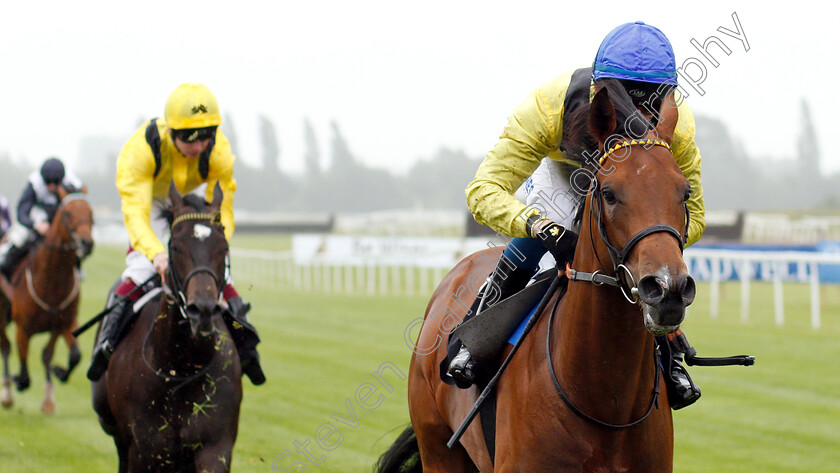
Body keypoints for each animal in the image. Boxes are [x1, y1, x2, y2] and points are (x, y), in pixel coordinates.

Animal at [0, 186, 93, 412]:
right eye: (67, 213)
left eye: (91, 212)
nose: (86, 243)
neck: (52, 282)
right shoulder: (23, 328)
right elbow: (24, 371)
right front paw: (18, 381)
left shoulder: (64, 323)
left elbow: (69, 355)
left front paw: (55, 385)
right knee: (5, 346)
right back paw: (7, 393)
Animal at [92, 183, 243, 472]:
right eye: (175, 246)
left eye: (224, 247)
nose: (202, 310)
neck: (181, 367)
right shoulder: (144, 449)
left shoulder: (215, 446)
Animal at [378, 83, 696, 470]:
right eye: (609, 193)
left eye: (685, 192)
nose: (668, 289)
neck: (605, 402)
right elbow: (488, 187)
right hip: (437, 449)